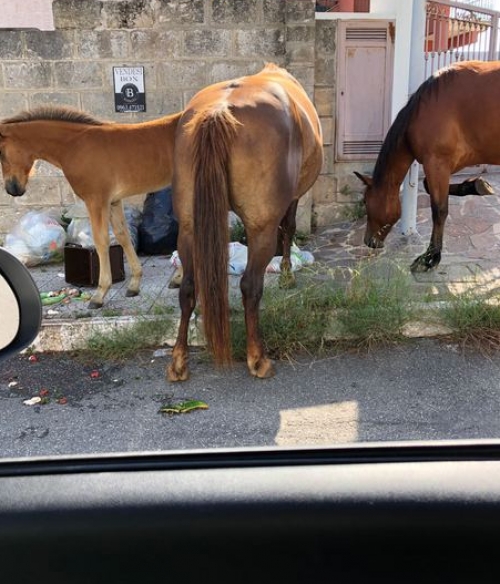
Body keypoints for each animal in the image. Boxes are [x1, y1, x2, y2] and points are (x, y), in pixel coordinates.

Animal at [0, 108, 182, 310]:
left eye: (1, 153)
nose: (12, 189)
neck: (74, 146)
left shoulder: (96, 200)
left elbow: (101, 241)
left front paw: (99, 294)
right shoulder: (114, 201)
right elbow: (123, 236)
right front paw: (134, 285)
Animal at [168, 62, 324, 384]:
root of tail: (219, 111)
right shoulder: (292, 200)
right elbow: (289, 228)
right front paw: (287, 274)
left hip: (189, 229)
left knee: (188, 288)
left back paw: (178, 361)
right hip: (260, 229)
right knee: (250, 286)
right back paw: (258, 359)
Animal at [356, 58, 500, 272]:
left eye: (366, 201)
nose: (369, 241)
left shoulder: (437, 163)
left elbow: (439, 210)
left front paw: (431, 256)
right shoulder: (446, 165)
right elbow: (428, 188)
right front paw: (476, 185)